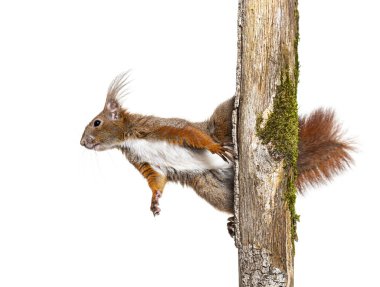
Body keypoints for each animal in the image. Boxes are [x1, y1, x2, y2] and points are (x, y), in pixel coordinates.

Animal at [79, 73, 354, 219]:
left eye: (96, 122)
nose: (82, 143)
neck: (129, 138)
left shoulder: (162, 128)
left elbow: (190, 133)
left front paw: (214, 149)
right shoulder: (146, 163)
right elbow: (156, 180)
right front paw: (154, 201)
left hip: (221, 124)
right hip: (208, 185)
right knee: (227, 202)